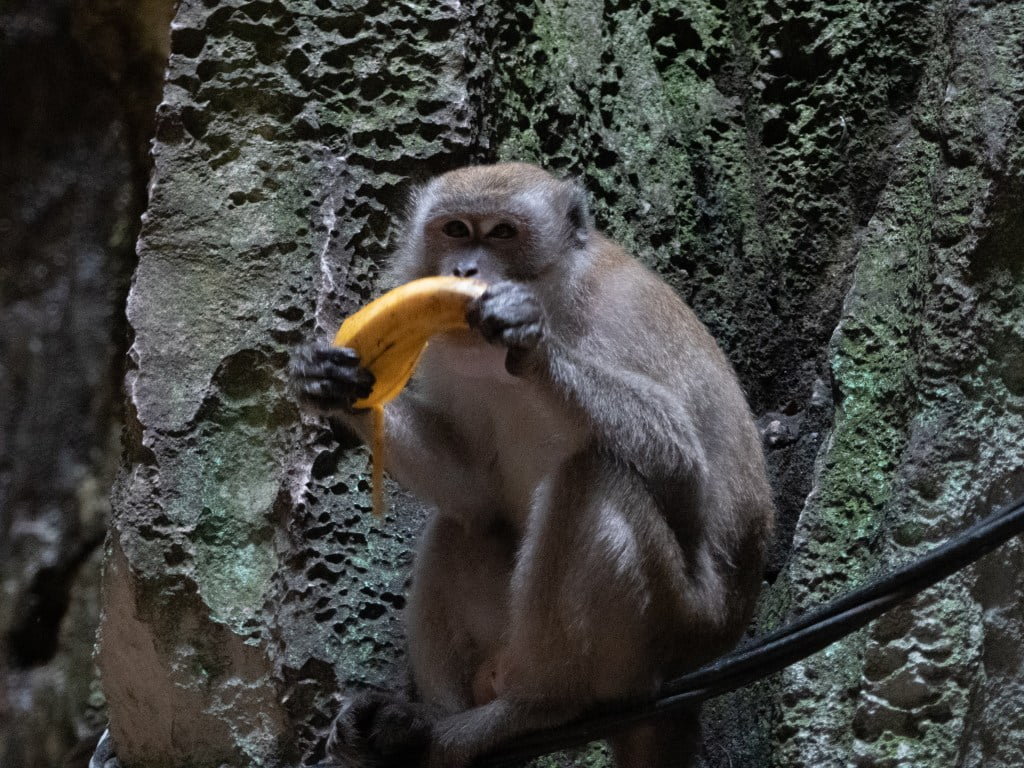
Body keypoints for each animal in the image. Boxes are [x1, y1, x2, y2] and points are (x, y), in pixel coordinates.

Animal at [290, 162, 774, 768]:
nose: (465, 269)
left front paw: (532, 342)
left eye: (502, 233)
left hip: (674, 626)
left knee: (593, 478)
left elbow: (686, 471)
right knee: (463, 526)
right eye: (455, 229)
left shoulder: (623, 317)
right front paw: (333, 384)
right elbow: (473, 486)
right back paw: (420, 723)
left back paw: (538, 706)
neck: (557, 291)